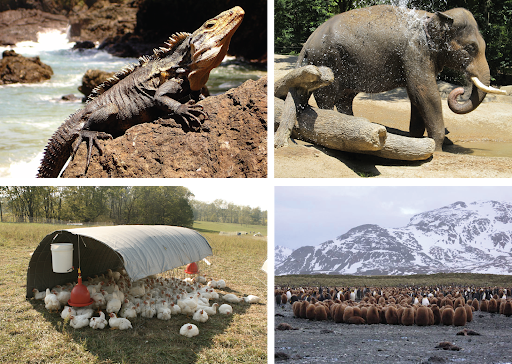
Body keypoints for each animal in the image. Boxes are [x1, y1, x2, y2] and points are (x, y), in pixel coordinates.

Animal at [296, 4, 504, 149]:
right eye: (471, 48)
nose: (460, 91)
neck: (436, 16)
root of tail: (307, 43)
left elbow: (416, 96)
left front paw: (417, 138)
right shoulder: (415, 51)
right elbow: (425, 92)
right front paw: (437, 147)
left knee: (344, 97)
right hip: (327, 59)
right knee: (327, 96)